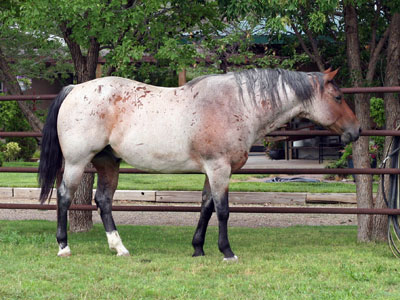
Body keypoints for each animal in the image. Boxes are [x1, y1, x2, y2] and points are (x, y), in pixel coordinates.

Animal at [39, 68, 360, 260]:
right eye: (338, 96)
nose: (356, 131)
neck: (237, 104)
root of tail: (74, 88)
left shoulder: (212, 170)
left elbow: (206, 207)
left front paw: (198, 249)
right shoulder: (219, 169)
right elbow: (223, 210)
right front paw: (227, 251)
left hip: (108, 163)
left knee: (103, 200)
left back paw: (120, 248)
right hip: (77, 162)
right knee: (65, 197)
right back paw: (64, 246)